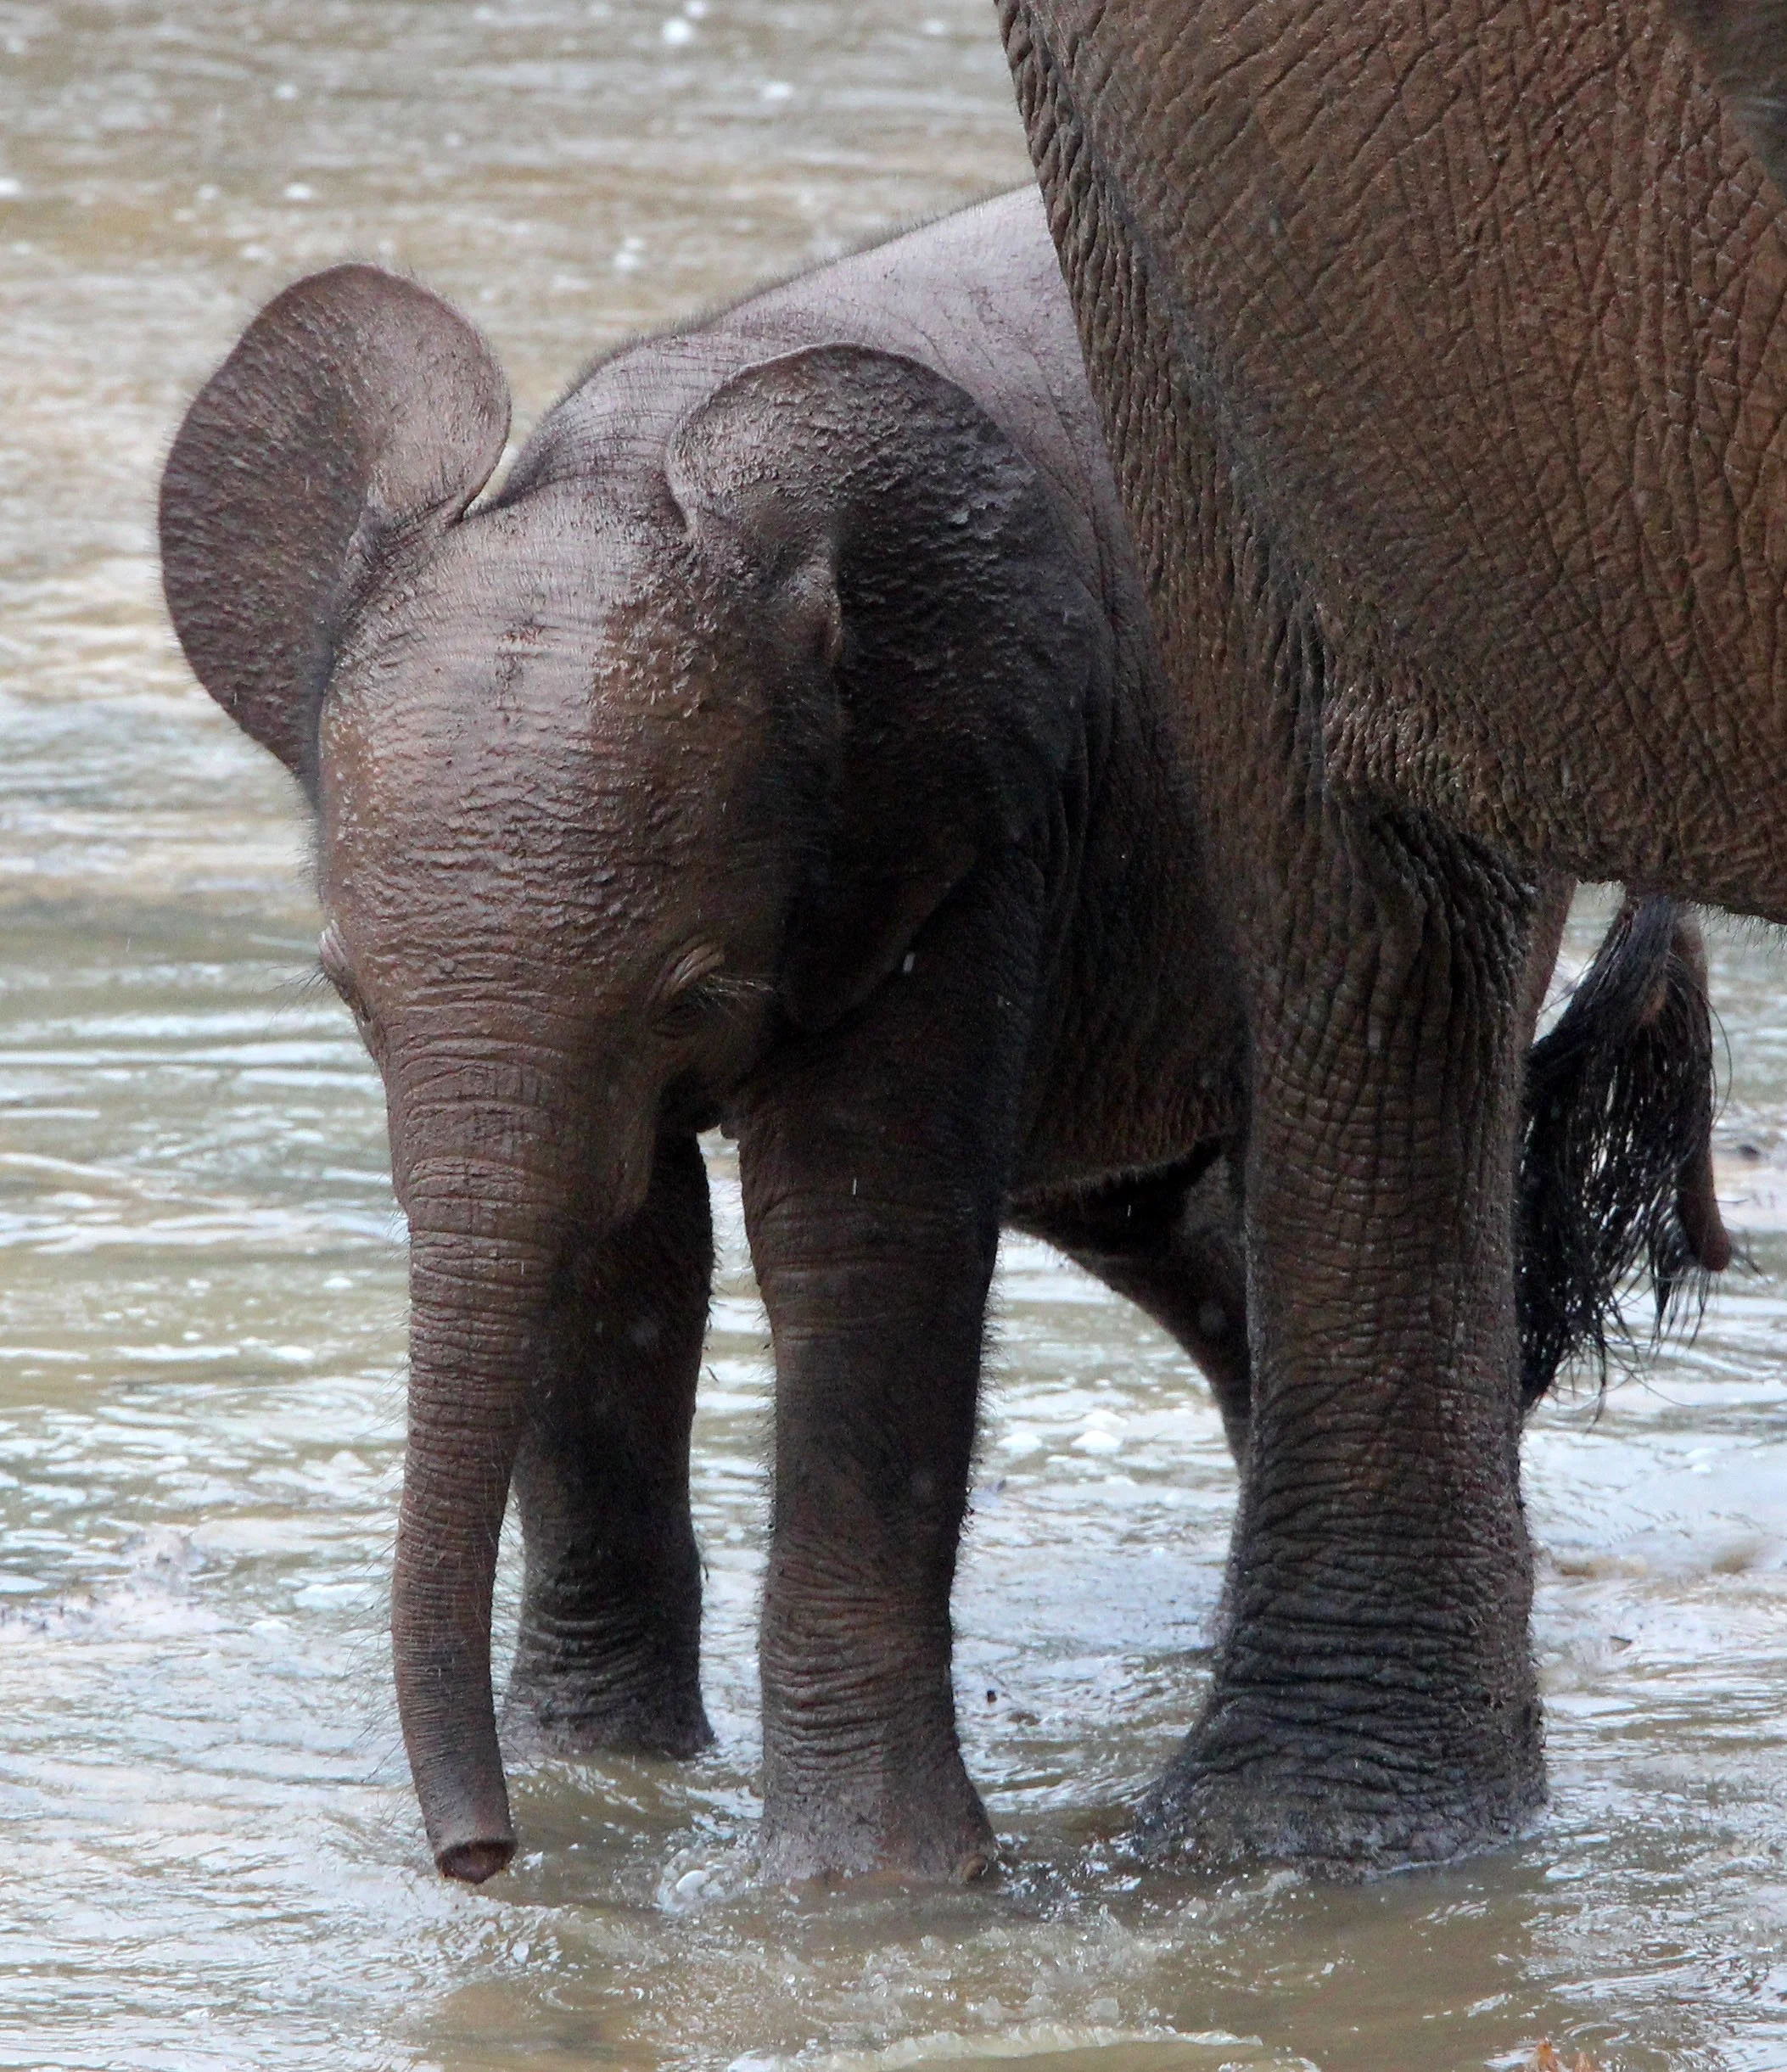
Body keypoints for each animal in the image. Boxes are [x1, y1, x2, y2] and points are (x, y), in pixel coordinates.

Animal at [158, 189, 1727, 1887]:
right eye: (344, 994)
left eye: (691, 990)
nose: (476, 1861)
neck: (638, 462)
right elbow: (615, 1248)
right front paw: (608, 1785)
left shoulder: (970, 811)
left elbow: (859, 1235)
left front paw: (874, 1893)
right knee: (1165, 1220)